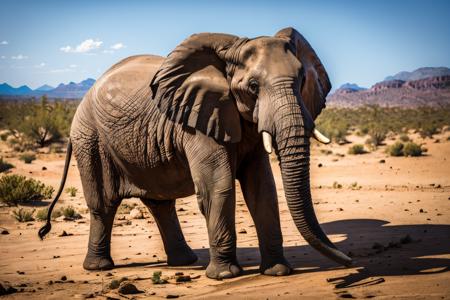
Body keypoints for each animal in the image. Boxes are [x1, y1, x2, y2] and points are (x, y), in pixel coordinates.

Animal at [39, 27, 352, 280]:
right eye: (253, 87)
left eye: (302, 80)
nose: (349, 260)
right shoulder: (197, 118)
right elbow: (219, 186)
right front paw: (225, 276)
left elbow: (262, 188)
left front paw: (277, 271)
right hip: (89, 138)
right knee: (103, 203)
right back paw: (99, 268)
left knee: (161, 204)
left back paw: (185, 261)